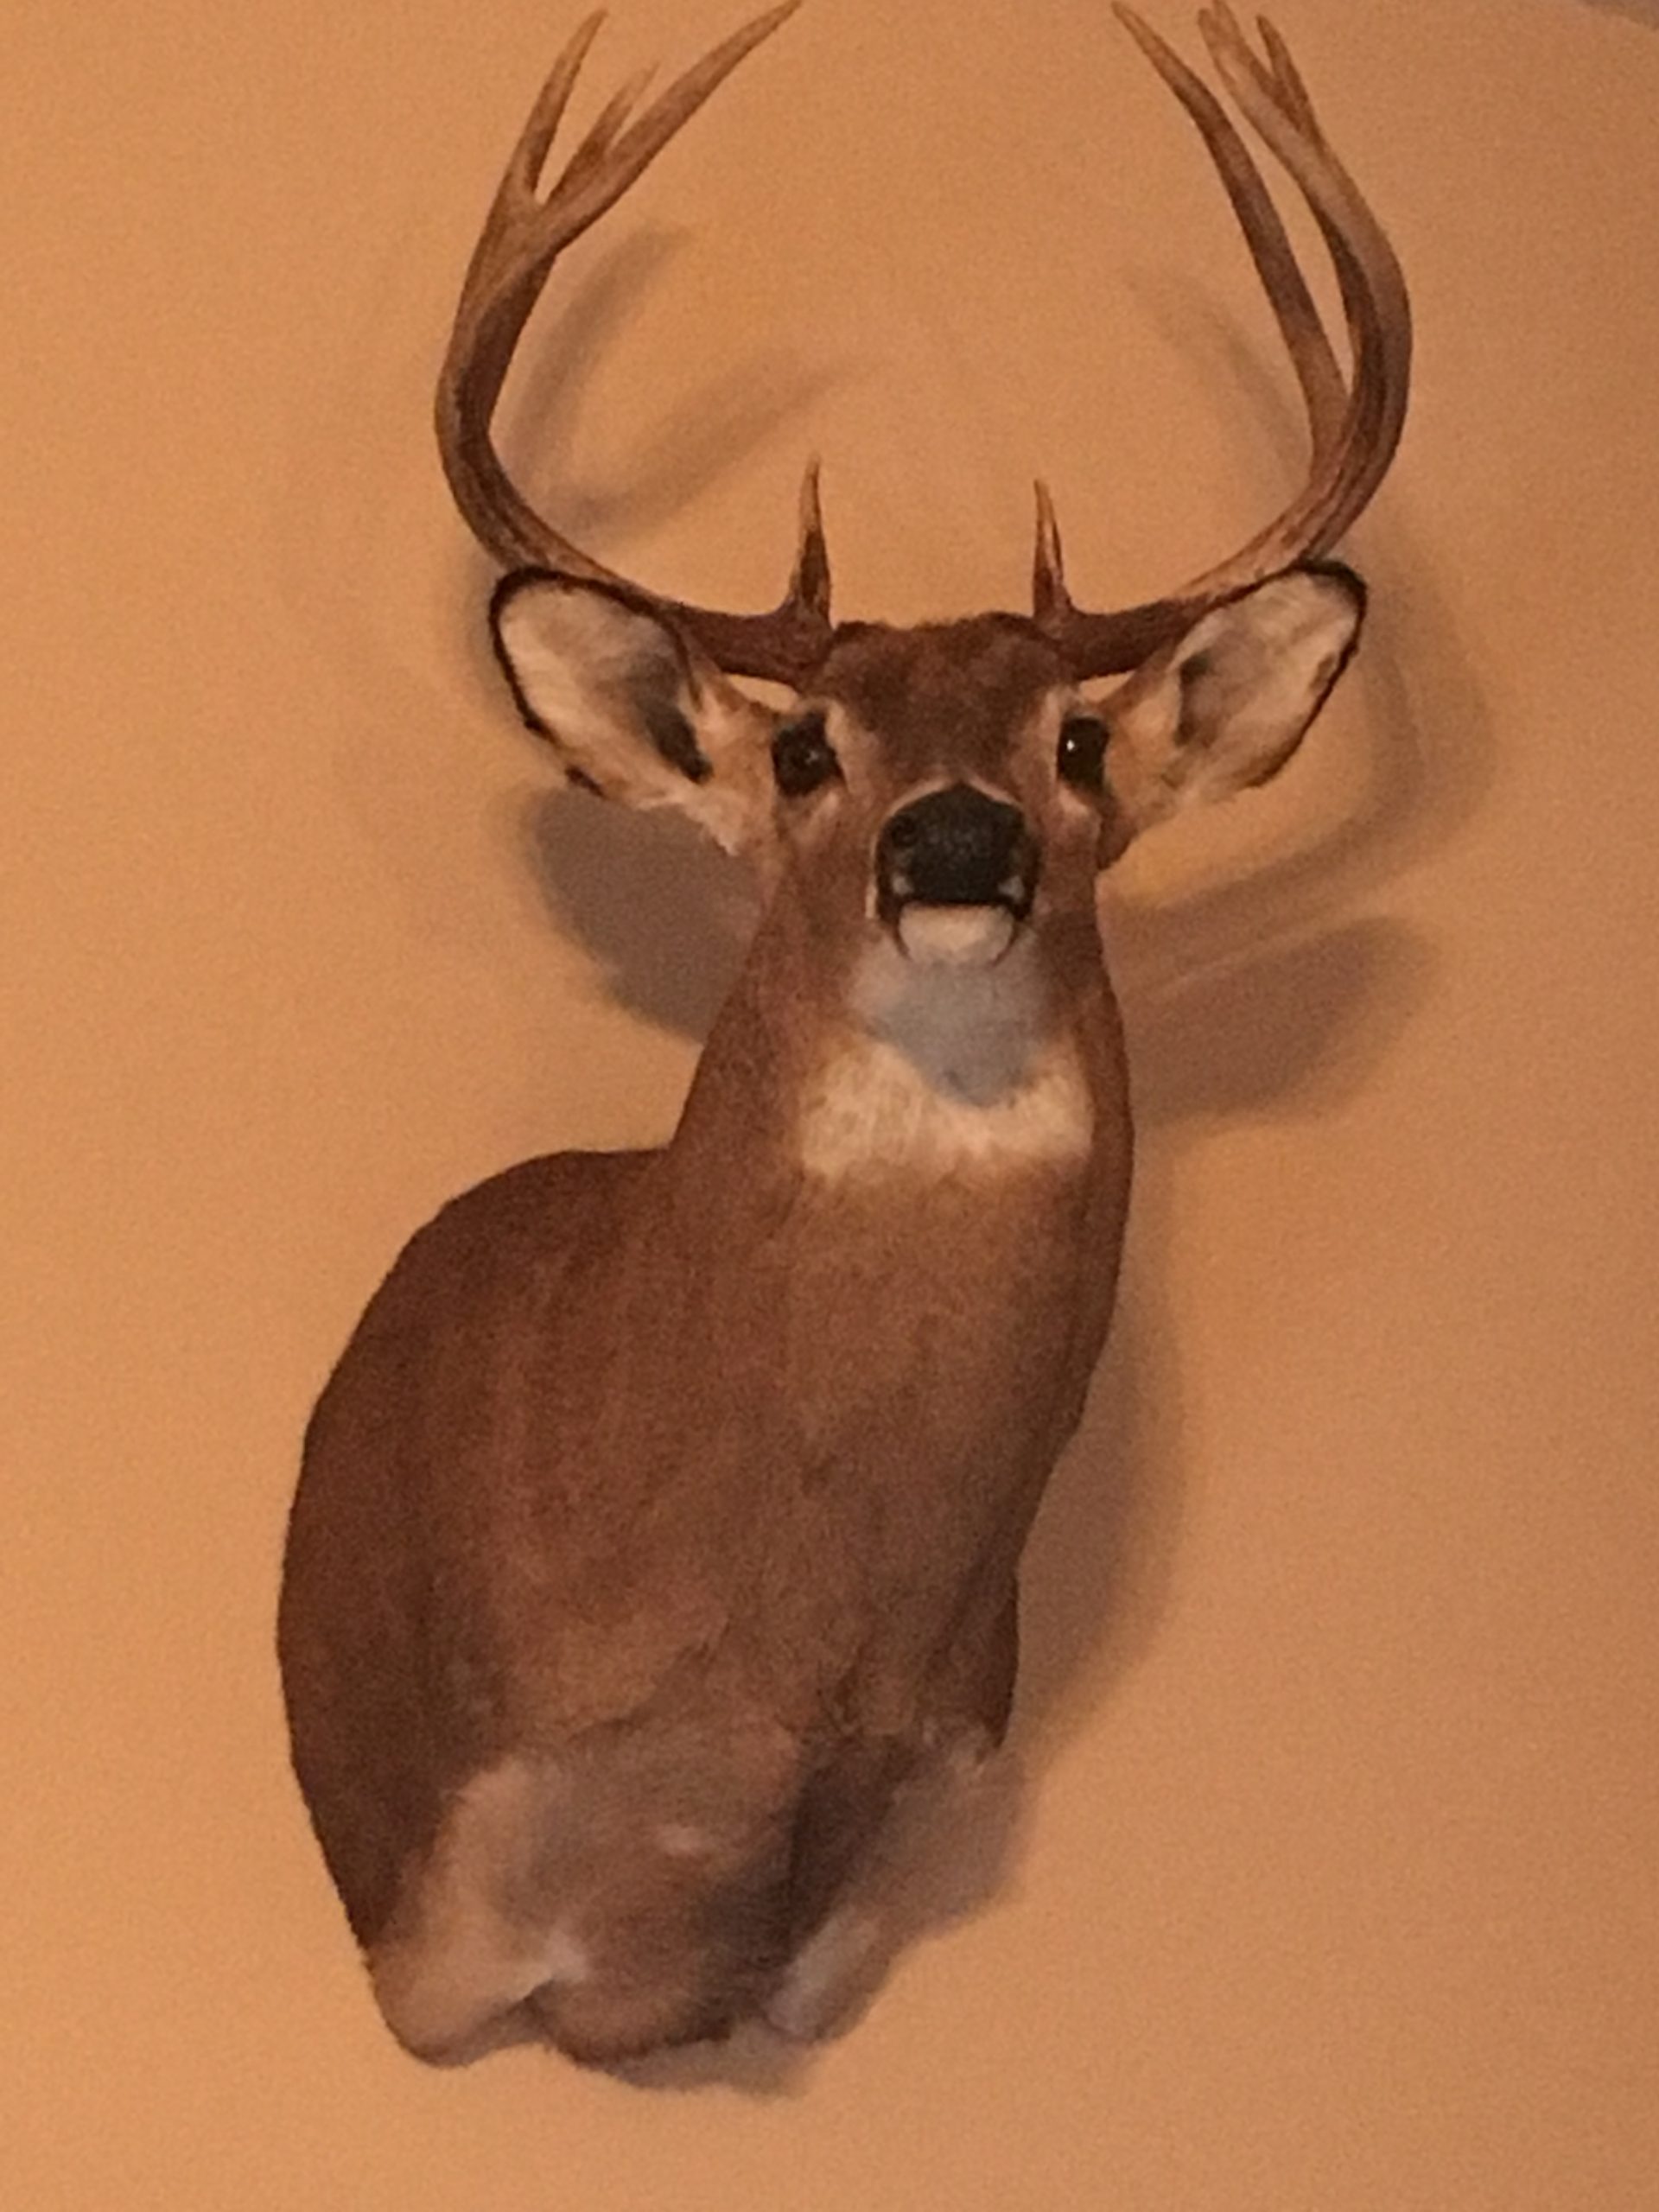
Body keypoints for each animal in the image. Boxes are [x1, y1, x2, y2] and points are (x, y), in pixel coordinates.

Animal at [278, 0, 1410, 2069]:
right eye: (807, 750)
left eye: (1072, 741)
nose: (952, 842)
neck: (792, 1658)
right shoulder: (440, 1913)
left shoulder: (917, 1830)